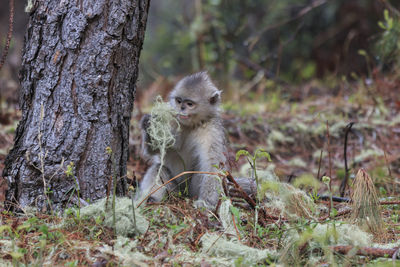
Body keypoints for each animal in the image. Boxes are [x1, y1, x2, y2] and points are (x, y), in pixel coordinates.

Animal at [138, 71, 227, 209]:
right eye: (179, 101)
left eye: (189, 104)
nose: (182, 108)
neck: (191, 125)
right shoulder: (172, 119)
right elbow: (156, 151)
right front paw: (149, 124)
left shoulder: (212, 131)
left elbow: (212, 167)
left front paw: (205, 203)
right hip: (174, 190)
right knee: (158, 169)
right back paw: (151, 200)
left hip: (189, 191)